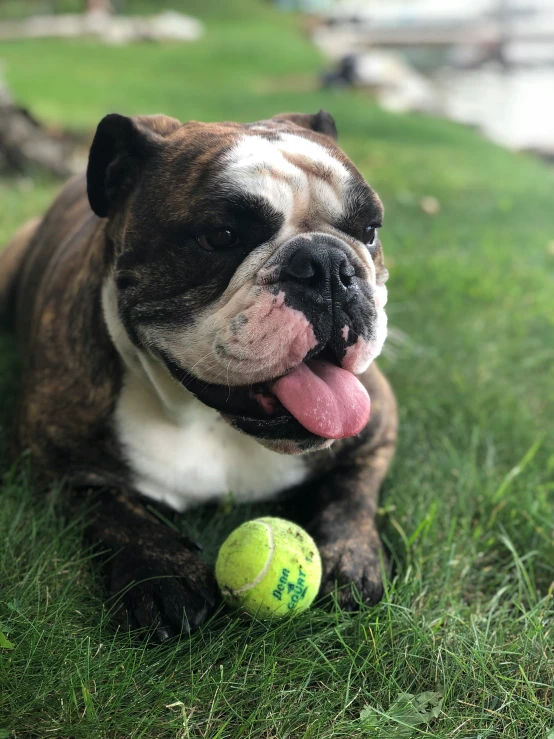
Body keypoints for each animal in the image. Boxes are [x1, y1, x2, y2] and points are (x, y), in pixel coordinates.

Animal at [1, 111, 396, 640]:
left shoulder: (378, 428)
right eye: (220, 237)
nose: (327, 264)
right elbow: (110, 507)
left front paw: (349, 556)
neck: (207, 419)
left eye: (369, 230)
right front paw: (161, 573)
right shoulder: (53, 465)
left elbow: (352, 491)